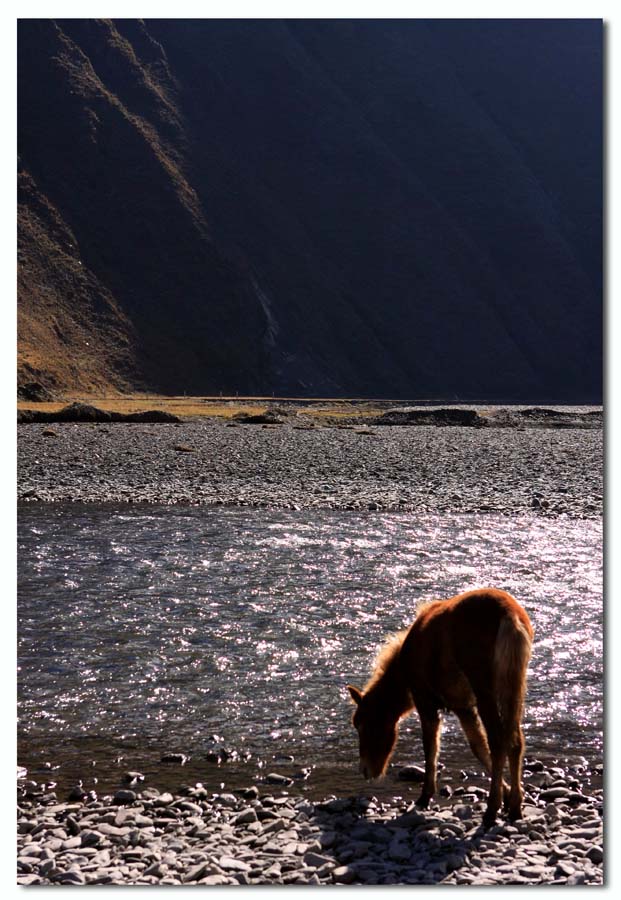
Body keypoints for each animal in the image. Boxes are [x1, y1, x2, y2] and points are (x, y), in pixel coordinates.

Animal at [348, 588, 532, 828]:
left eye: (363, 724)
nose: (365, 770)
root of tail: (510, 616)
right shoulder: (463, 707)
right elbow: (478, 746)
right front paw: (508, 794)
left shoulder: (425, 701)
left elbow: (431, 747)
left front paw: (425, 796)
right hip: (513, 687)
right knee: (515, 740)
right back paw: (515, 808)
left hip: (485, 690)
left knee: (498, 741)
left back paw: (491, 810)